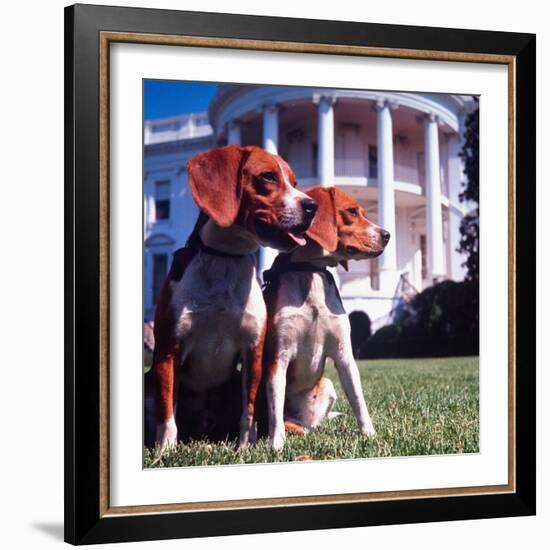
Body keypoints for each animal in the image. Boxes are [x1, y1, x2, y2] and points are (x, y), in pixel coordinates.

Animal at [152, 148, 320, 452]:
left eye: (295, 182)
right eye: (268, 176)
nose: (313, 206)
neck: (225, 259)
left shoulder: (252, 350)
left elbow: (249, 412)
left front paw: (245, 448)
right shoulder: (168, 351)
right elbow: (167, 414)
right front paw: (165, 452)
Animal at [264, 188, 390, 450]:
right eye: (352, 212)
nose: (387, 235)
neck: (310, 270)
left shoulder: (344, 355)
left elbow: (358, 401)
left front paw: (370, 434)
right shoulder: (278, 358)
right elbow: (275, 412)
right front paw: (276, 445)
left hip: (329, 386)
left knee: (315, 422)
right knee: (291, 420)